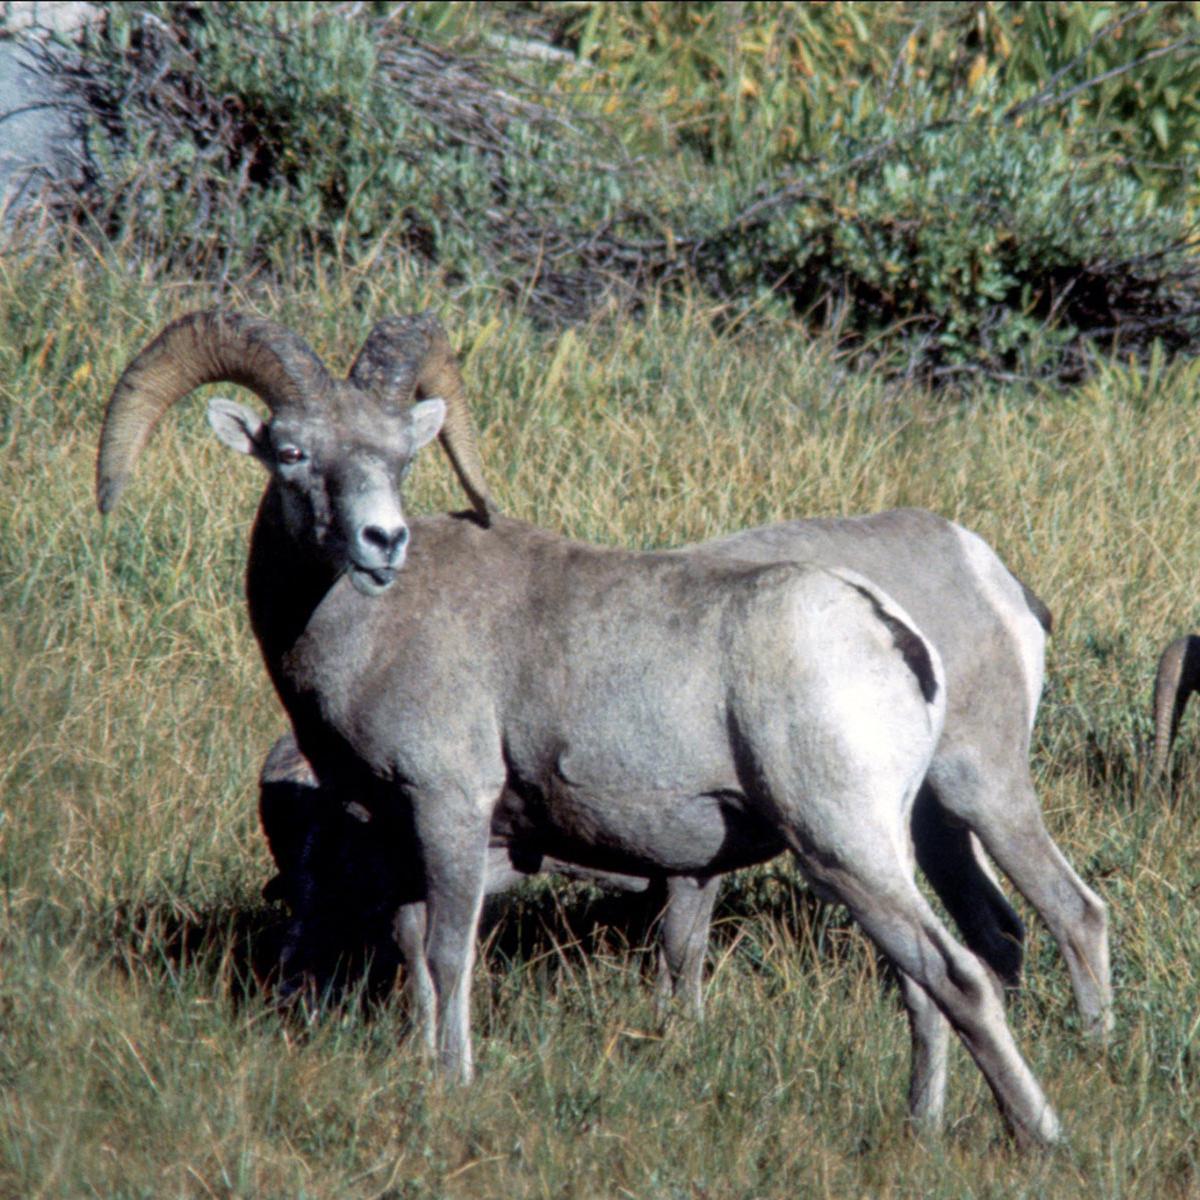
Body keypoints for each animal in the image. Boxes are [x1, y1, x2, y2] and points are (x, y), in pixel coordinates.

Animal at [96, 310, 1061, 1146]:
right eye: (294, 453)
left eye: (401, 458)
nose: (382, 542)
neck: (367, 634)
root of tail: (893, 633)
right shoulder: (400, 832)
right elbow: (411, 951)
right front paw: (418, 1065)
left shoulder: (451, 809)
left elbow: (448, 955)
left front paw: (455, 1080)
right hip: (884, 848)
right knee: (924, 986)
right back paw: (922, 1128)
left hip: (842, 845)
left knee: (961, 976)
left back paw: (1036, 1135)